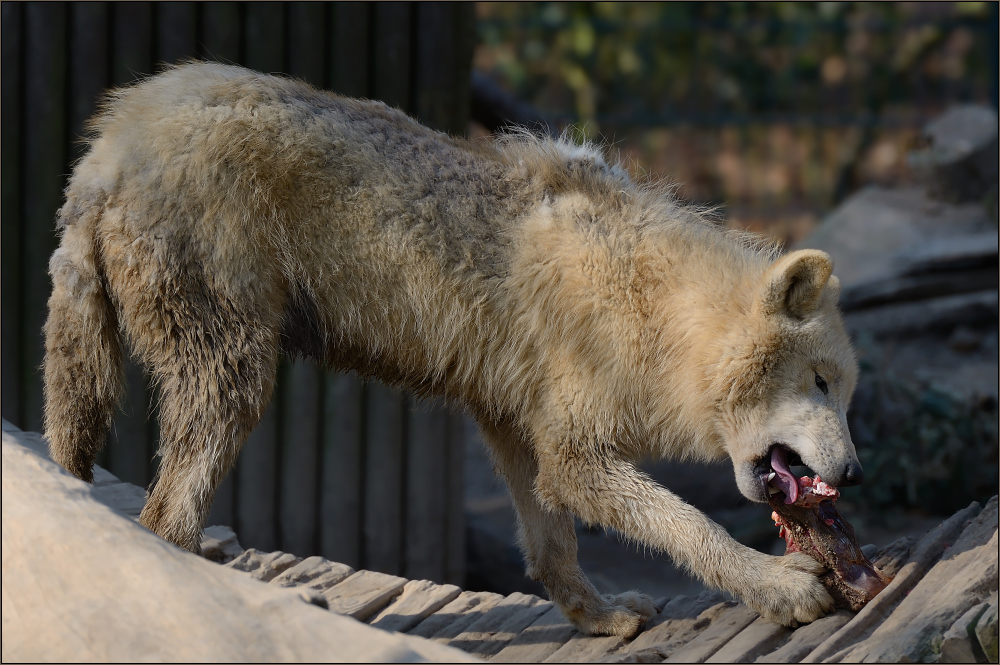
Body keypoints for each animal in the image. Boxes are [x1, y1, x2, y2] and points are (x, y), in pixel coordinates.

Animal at [45, 63, 860, 640]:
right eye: (821, 383)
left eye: (846, 394)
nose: (853, 471)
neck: (657, 309)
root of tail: (108, 146)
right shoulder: (577, 456)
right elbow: (691, 525)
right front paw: (780, 587)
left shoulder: (517, 432)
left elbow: (552, 548)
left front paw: (598, 618)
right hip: (237, 384)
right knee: (164, 522)